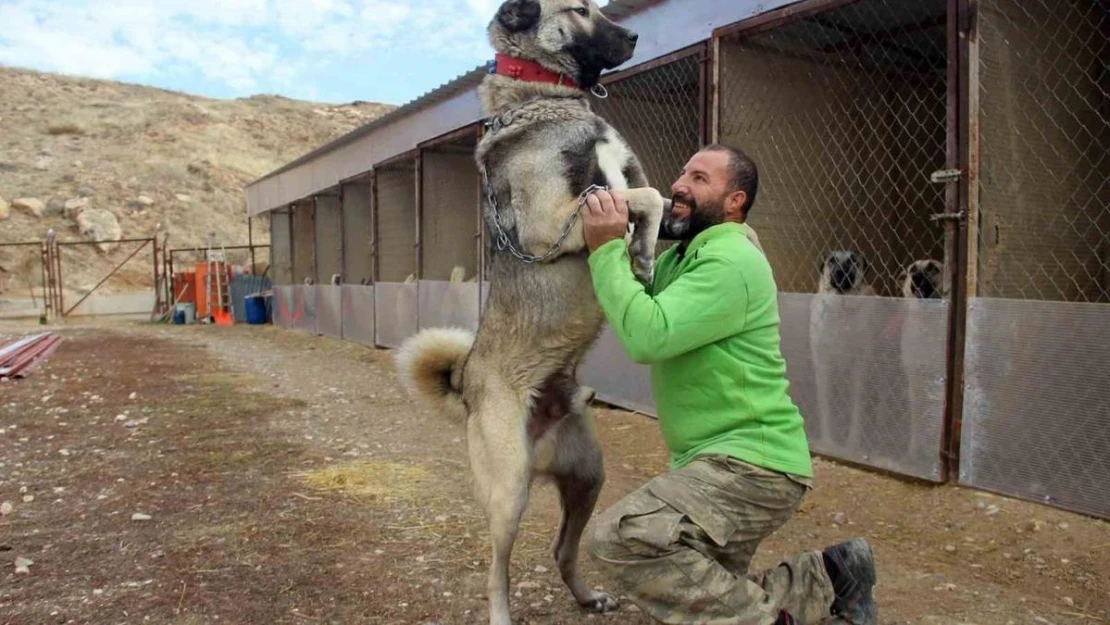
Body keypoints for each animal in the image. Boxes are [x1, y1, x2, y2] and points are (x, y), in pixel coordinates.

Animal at [395, 2, 661, 621]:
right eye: (580, 9)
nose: (636, 34)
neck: (545, 96)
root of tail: (467, 381)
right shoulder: (555, 222)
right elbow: (647, 199)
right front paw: (642, 253)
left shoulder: (625, 179)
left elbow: (655, 197)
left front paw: (645, 256)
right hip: (509, 490)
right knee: (497, 569)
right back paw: (501, 611)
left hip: (589, 477)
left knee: (562, 549)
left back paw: (587, 596)